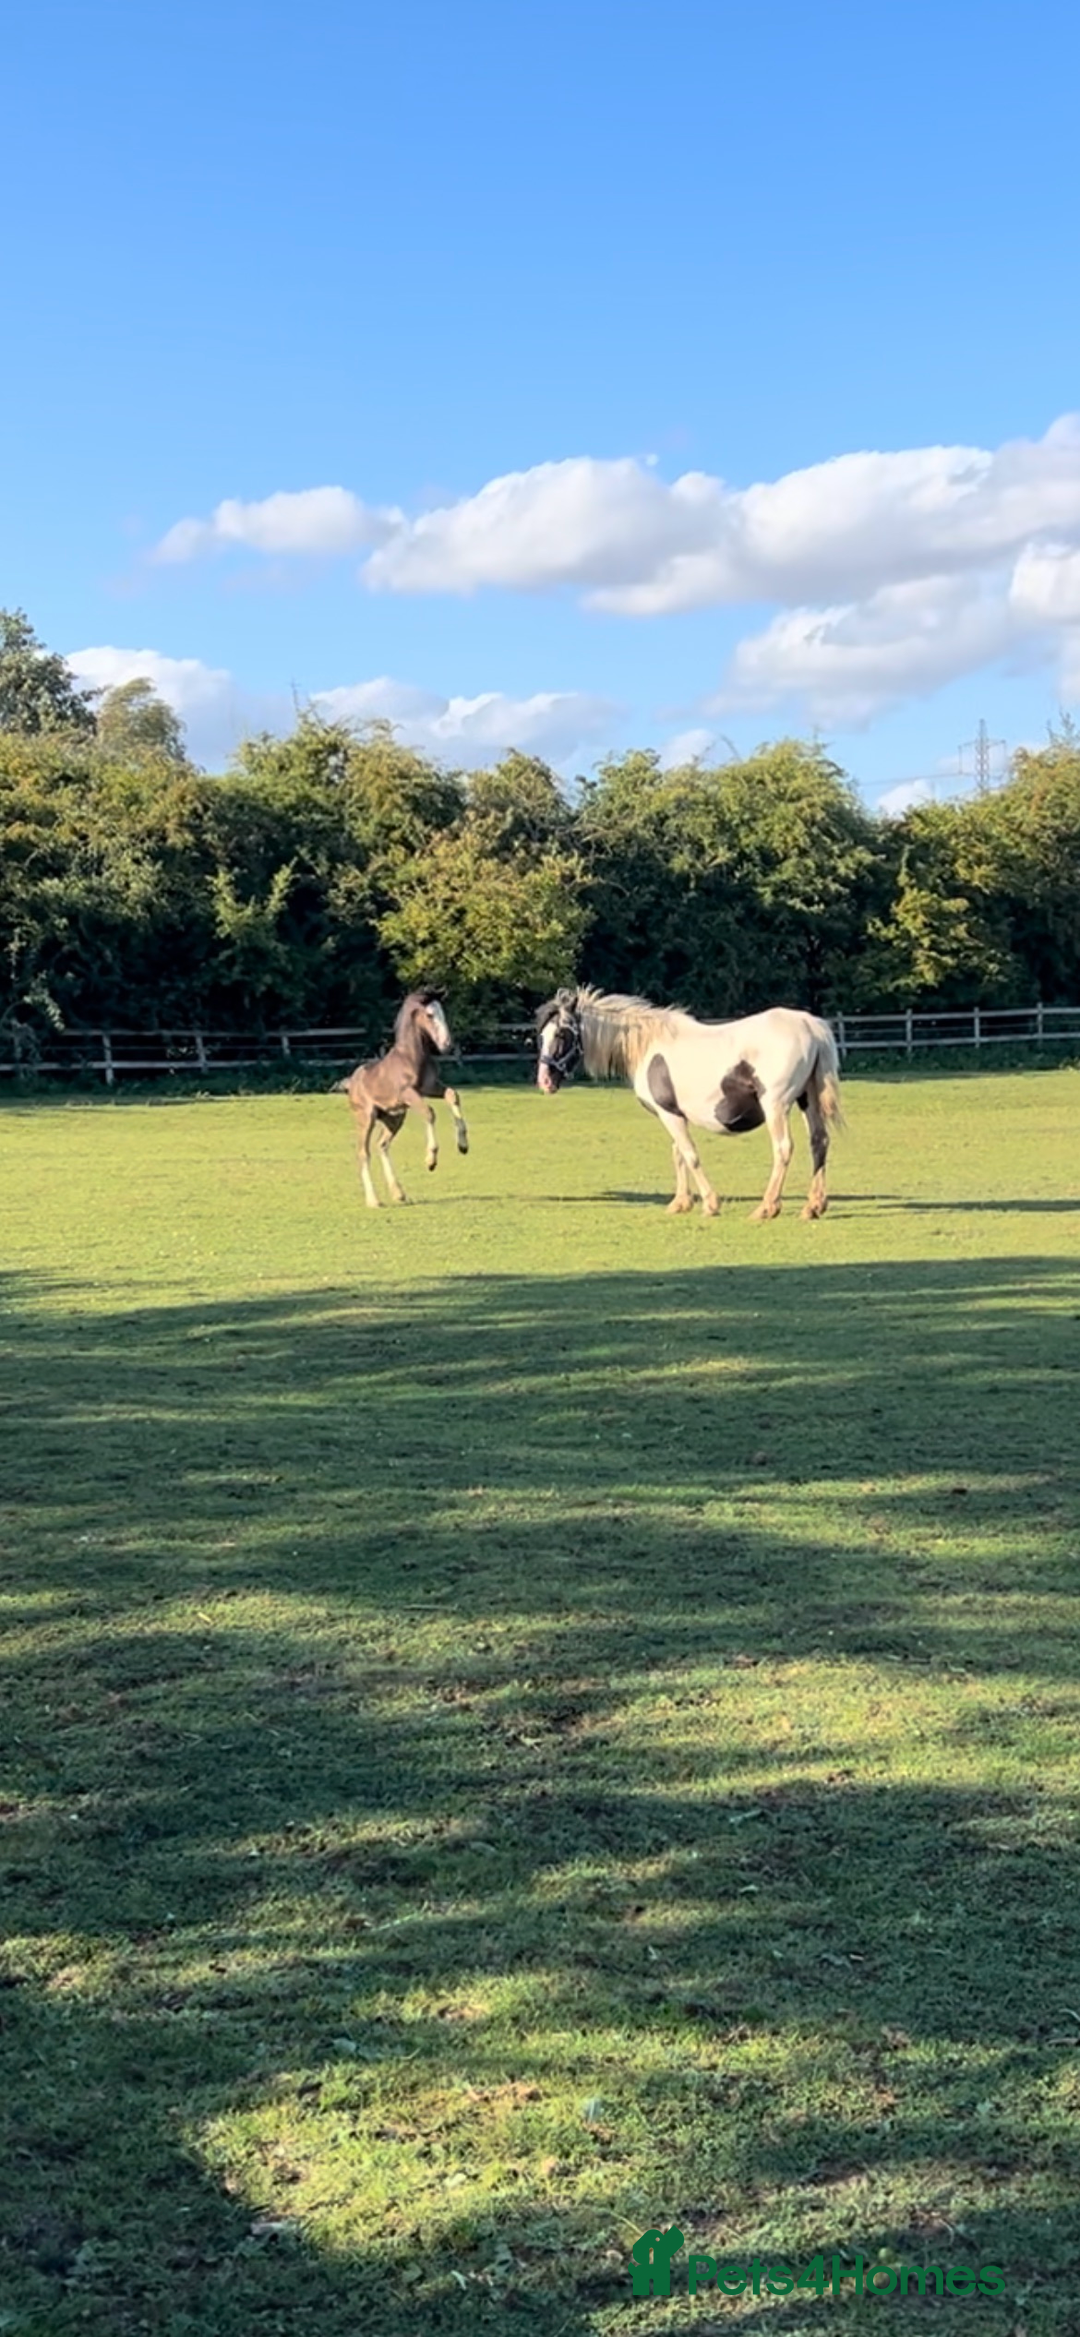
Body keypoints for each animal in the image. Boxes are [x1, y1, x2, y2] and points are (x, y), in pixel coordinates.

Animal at [335, 988, 469, 1207]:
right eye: (430, 1015)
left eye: (442, 1013)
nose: (447, 1045)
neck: (411, 1057)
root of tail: (351, 1083)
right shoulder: (409, 1093)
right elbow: (429, 1113)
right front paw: (430, 1160)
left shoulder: (430, 1087)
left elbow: (452, 1095)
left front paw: (463, 1145)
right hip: (366, 1118)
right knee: (363, 1152)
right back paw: (373, 1200)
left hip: (394, 1118)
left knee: (382, 1145)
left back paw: (398, 1193)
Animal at [535, 985, 843, 1220]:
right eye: (542, 1036)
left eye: (561, 1034)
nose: (545, 1081)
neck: (648, 1044)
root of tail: (811, 1026)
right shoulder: (674, 1113)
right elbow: (678, 1154)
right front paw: (681, 1203)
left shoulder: (668, 1114)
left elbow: (690, 1154)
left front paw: (710, 1204)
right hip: (807, 1100)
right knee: (819, 1142)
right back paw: (813, 1207)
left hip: (776, 1106)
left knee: (783, 1149)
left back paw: (767, 1208)